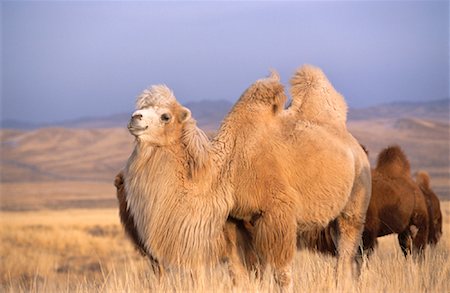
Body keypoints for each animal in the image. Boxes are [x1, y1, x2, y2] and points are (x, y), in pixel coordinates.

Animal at [121, 64, 370, 288]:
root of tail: (354, 146)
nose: (135, 118)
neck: (227, 172)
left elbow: (282, 273)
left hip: (355, 202)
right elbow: (238, 273)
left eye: (165, 116)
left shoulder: (278, 213)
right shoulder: (234, 220)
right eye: (142, 107)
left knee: (345, 252)